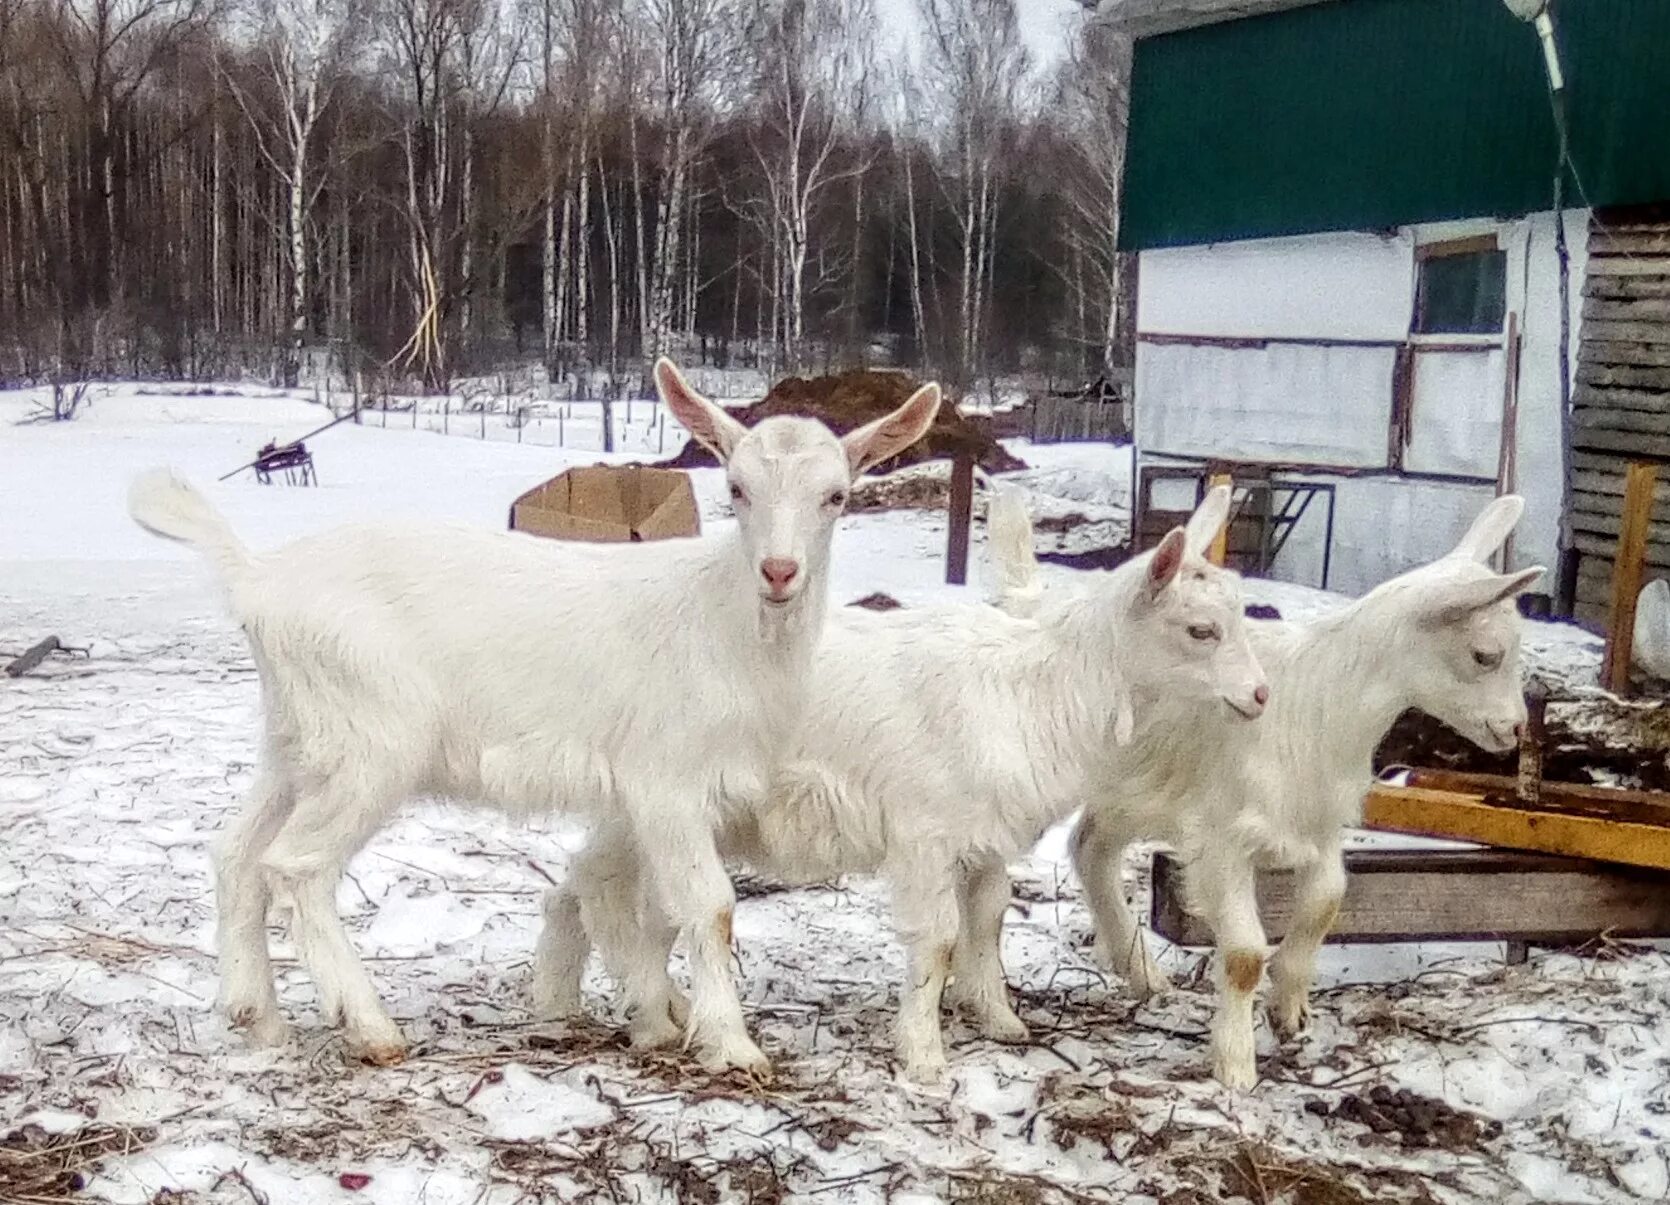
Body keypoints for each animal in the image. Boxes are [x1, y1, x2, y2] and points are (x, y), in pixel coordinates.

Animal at [128, 357, 941, 1068]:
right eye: (736, 488)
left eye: (837, 495)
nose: (779, 572)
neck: (728, 624)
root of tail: (256, 578)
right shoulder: (668, 781)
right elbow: (709, 905)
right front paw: (732, 1045)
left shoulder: (658, 797)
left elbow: (645, 908)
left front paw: (662, 1017)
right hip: (370, 741)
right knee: (294, 866)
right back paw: (370, 1026)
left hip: (298, 736)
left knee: (237, 852)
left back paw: (256, 1016)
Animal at [534, 484, 1262, 1074]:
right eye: (1200, 629)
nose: (1259, 695)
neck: (1034, 688)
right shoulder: (924, 831)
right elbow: (937, 938)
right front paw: (924, 1056)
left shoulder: (984, 835)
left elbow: (989, 917)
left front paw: (1000, 1018)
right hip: (661, 794)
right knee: (610, 892)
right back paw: (653, 1020)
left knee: (582, 884)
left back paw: (561, 1003)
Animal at [981, 487, 1543, 1081]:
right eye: (1486, 654)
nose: (1513, 729)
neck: (1317, 701)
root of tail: (1033, 602)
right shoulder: (1222, 836)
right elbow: (1246, 954)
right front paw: (1234, 1065)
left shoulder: (1317, 822)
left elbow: (1326, 901)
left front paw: (1289, 1011)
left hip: (1137, 788)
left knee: (1091, 847)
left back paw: (1143, 974)